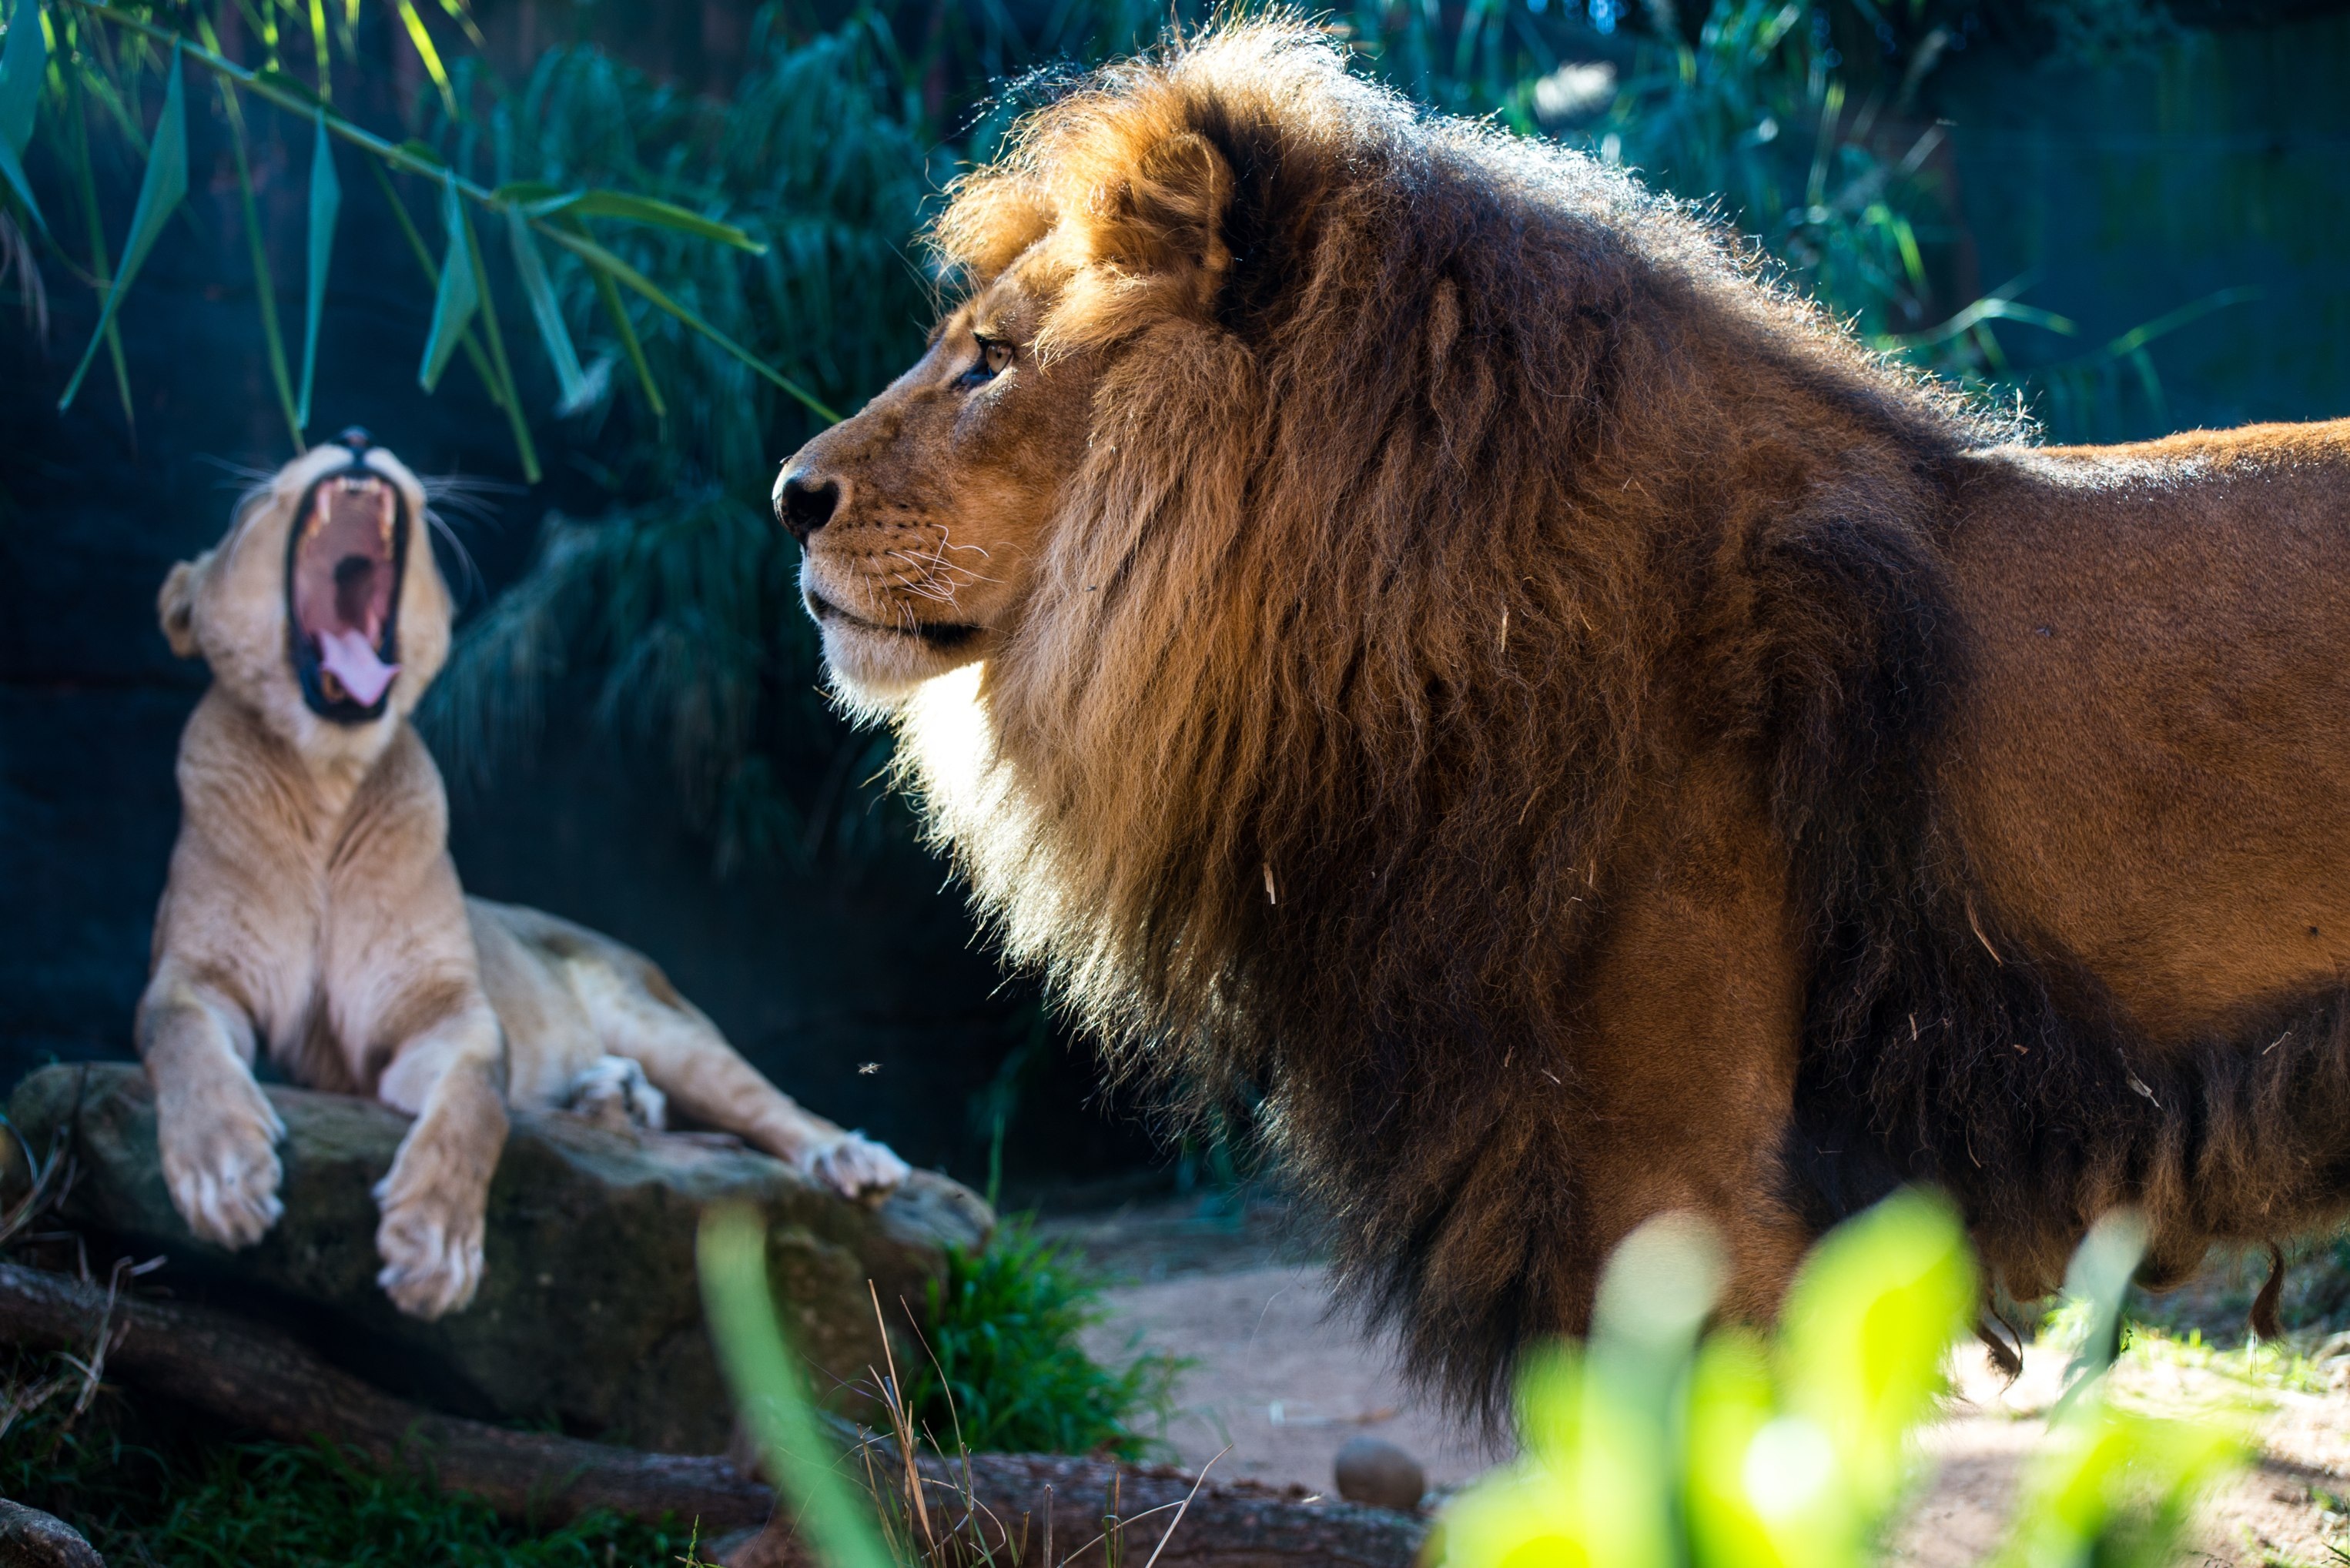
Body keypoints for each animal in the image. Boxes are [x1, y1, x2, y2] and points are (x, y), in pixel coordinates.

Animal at [142, 434, 902, 1316]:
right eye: (252, 502)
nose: (359, 439)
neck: (327, 782)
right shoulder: (194, 975)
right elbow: (181, 1037)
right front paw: (223, 1178)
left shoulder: (450, 1010)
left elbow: (478, 1102)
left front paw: (435, 1250)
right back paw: (610, 1096)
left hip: (664, 1022)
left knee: (767, 1104)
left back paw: (847, 1156)